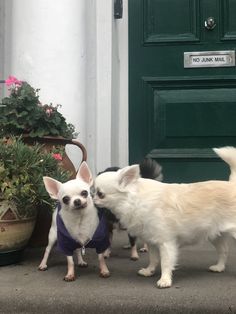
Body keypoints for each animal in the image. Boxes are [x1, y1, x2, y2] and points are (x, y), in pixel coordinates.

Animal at [93, 147, 236, 288]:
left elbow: (166, 262)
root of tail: (232, 184)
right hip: (216, 235)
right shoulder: (152, 241)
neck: (135, 200)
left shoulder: (166, 242)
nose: (92, 197)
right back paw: (219, 267)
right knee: (224, 251)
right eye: (92, 190)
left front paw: (165, 280)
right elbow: (154, 259)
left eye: (100, 194)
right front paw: (149, 271)